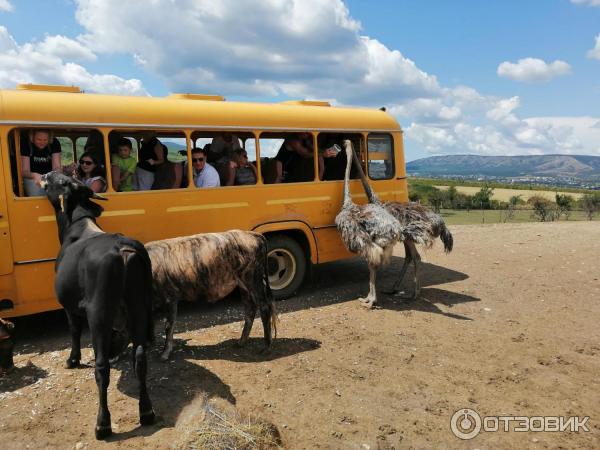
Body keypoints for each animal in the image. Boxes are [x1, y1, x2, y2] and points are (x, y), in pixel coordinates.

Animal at [41, 172, 155, 440]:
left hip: (99, 312)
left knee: (102, 368)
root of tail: (122, 247)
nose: (47, 174)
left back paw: (102, 423)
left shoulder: (70, 306)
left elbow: (73, 331)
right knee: (140, 357)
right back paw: (146, 411)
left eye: (60, 180)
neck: (77, 227)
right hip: (139, 304)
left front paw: (73, 359)